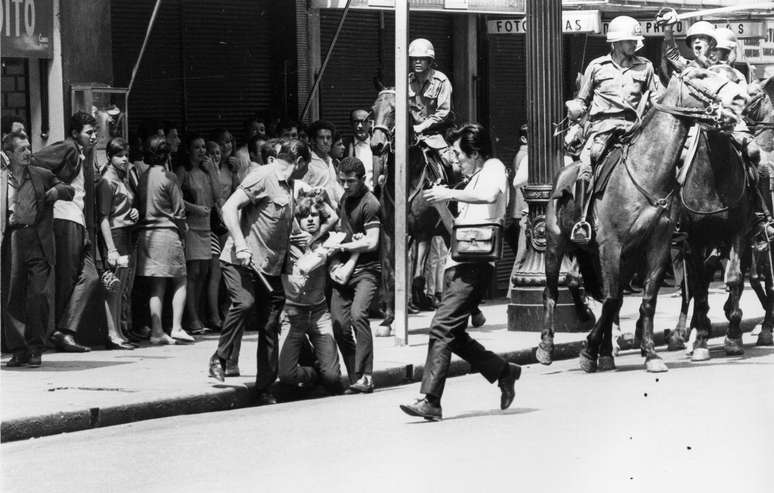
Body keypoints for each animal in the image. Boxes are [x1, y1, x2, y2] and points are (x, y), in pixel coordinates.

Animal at [368, 86, 460, 330]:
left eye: (395, 110)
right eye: (373, 110)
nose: (377, 145)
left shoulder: (422, 231)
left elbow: (417, 276)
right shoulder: (390, 231)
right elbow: (391, 273)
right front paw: (389, 319)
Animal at [540, 67, 744, 370]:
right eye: (700, 75)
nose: (740, 99)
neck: (647, 172)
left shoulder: (657, 246)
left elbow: (645, 299)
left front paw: (649, 353)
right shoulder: (610, 245)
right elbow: (612, 299)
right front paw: (588, 351)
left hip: (623, 257)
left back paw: (606, 353)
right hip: (556, 245)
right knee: (552, 292)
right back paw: (546, 346)